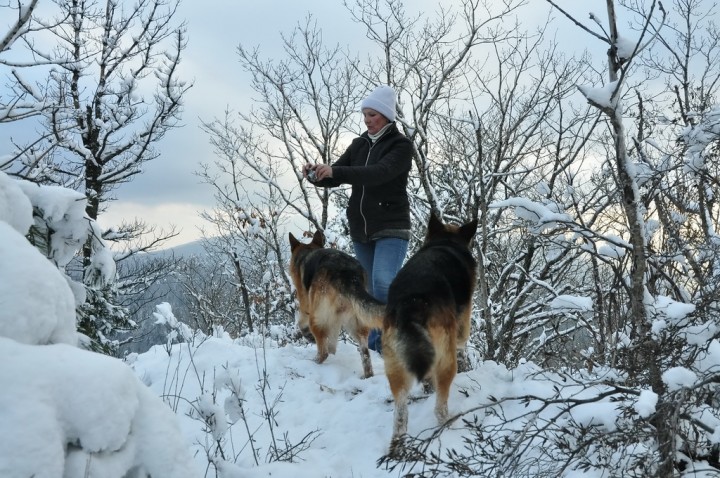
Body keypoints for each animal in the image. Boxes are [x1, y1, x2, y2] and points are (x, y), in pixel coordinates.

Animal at [288, 230, 388, 380]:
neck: (307, 251)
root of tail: (348, 274)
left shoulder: (306, 305)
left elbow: (301, 323)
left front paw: (308, 336)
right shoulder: (334, 317)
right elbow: (332, 340)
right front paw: (333, 351)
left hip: (318, 318)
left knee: (323, 352)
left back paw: (313, 362)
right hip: (356, 320)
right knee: (365, 355)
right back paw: (367, 375)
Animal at [382, 213, 478, 452]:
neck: (446, 241)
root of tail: (412, 303)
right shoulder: (462, 326)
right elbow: (463, 341)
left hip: (395, 365)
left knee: (400, 417)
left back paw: (397, 446)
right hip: (446, 360)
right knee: (439, 408)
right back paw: (451, 425)